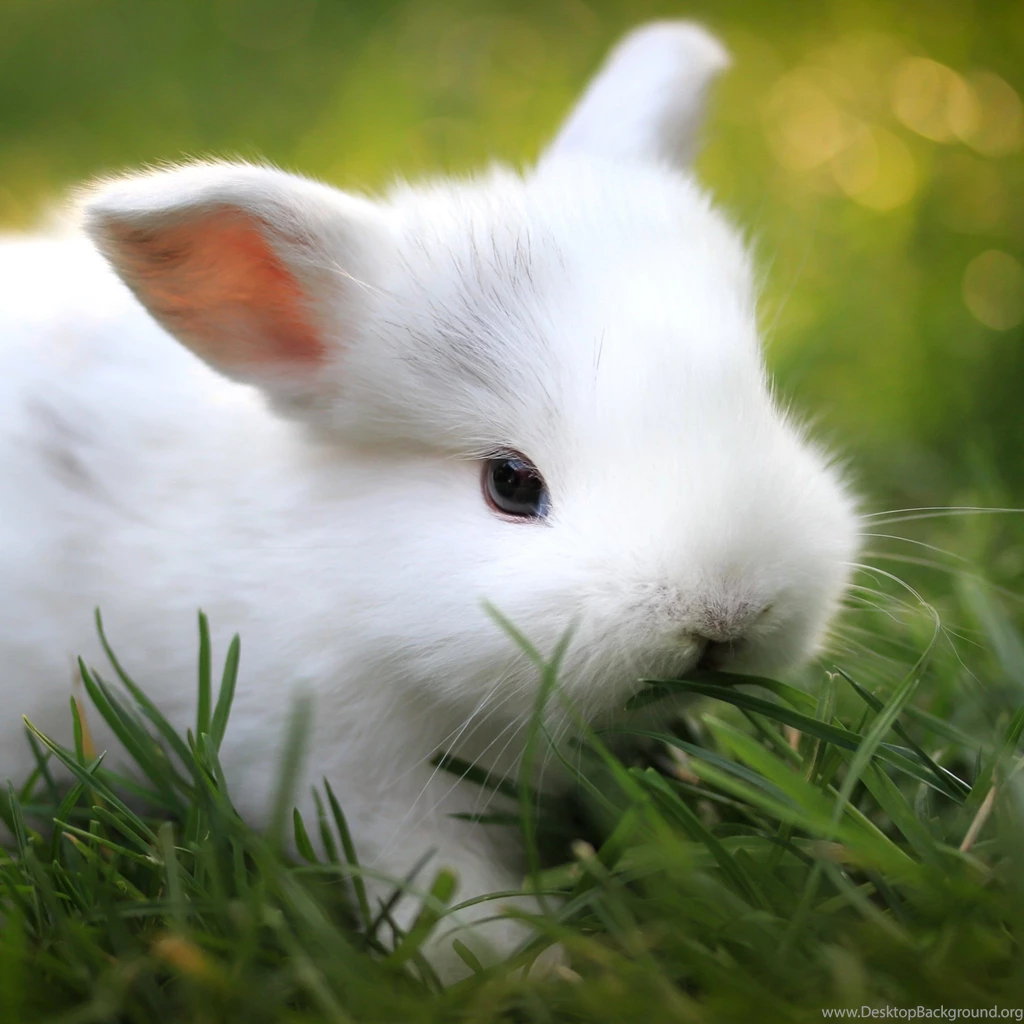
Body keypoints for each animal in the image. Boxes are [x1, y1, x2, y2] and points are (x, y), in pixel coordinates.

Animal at [0, 21, 858, 977]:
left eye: (760, 400)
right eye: (510, 484)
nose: (728, 613)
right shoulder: (352, 775)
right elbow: (438, 884)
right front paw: (523, 967)